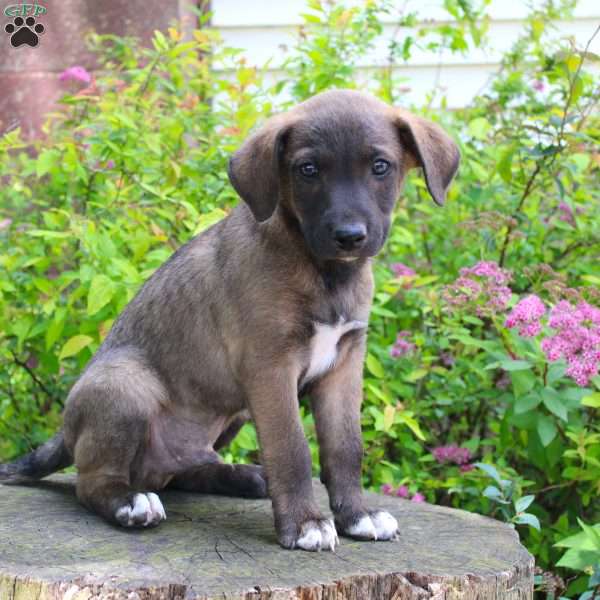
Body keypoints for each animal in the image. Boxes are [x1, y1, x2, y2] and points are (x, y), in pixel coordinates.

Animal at [1, 86, 460, 552]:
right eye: (308, 170)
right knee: (93, 481)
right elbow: (292, 448)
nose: (349, 236)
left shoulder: (343, 366)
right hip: (127, 384)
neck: (325, 273)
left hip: (230, 411)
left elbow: (345, 448)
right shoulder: (270, 368)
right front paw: (306, 522)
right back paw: (130, 502)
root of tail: (65, 432)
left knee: (183, 472)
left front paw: (356, 514)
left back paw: (243, 476)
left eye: (380, 166)